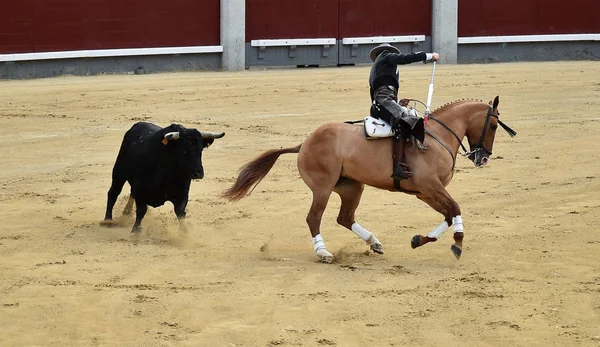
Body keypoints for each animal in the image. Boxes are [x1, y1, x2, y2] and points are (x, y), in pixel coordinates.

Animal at [223, 96, 512, 262]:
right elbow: (455, 208)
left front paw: (419, 240)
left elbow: (449, 214)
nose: (483, 158)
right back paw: (324, 253)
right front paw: (458, 243)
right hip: (323, 188)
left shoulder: (425, 192)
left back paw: (374, 243)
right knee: (314, 218)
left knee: (345, 217)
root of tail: (304, 143)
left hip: (351, 187)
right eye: (494, 125)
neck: (437, 136)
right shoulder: (430, 186)